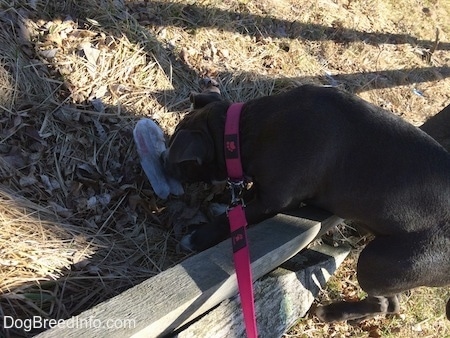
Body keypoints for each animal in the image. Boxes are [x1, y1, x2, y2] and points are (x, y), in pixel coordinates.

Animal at [163, 82, 450, 322]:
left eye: (176, 150)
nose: (162, 159)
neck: (246, 129)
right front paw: (221, 205)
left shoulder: (273, 201)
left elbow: (236, 217)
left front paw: (197, 237)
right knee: (390, 303)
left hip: (380, 261)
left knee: (384, 302)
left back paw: (331, 314)